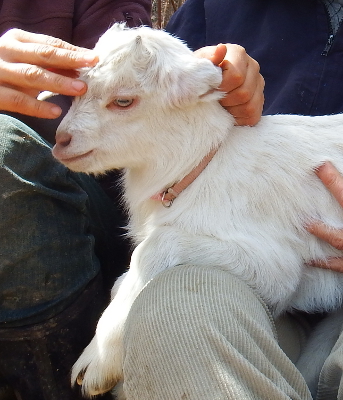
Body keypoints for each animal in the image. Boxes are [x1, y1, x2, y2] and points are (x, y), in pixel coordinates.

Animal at [53, 24, 343, 396]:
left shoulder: (276, 262)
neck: (201, 166)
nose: (61, 141)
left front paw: (97, 361)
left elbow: (153, 248)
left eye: (123, 101)